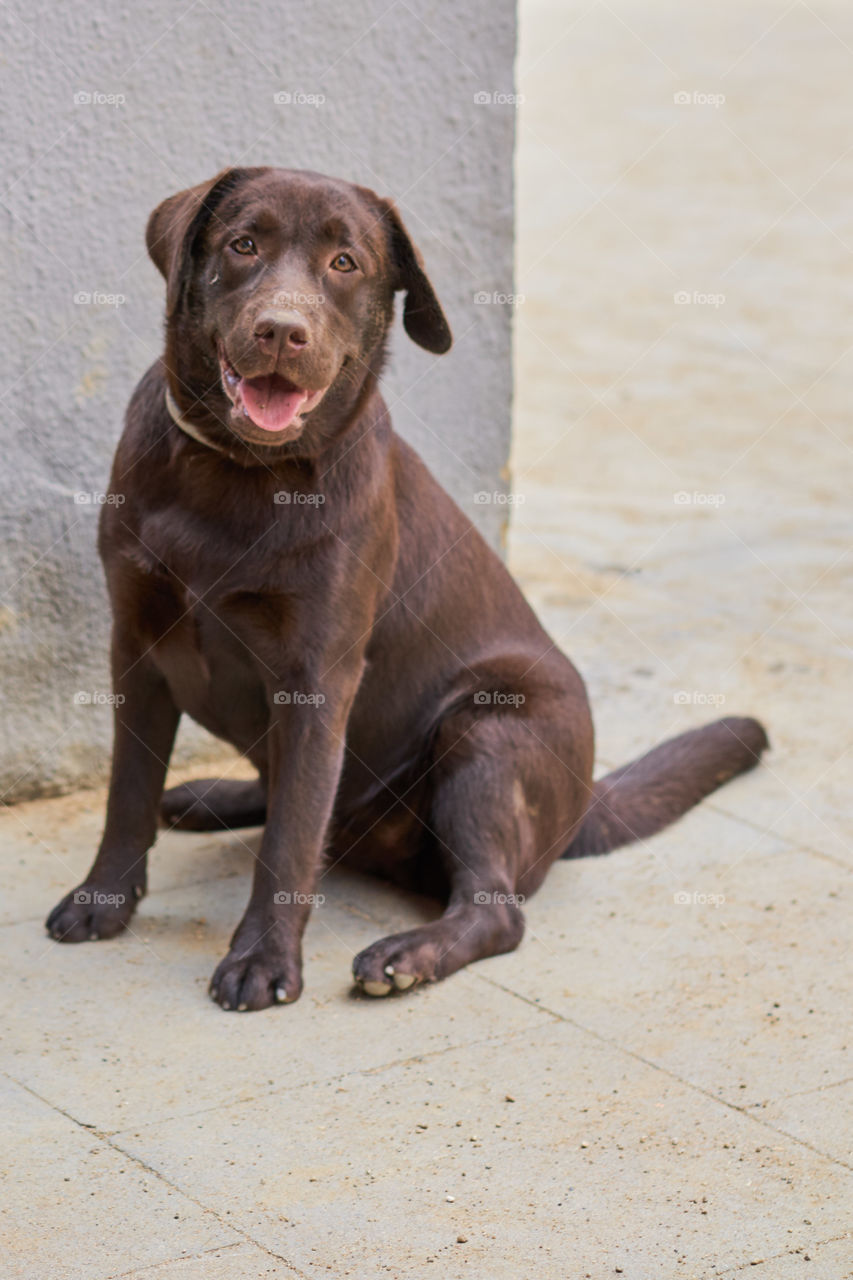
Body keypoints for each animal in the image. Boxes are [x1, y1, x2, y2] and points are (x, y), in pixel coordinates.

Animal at [44, 167, 763, 1008]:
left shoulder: (318, 677)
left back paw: (407, 955)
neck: (235, 472)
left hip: (485, 732)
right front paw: (103, 902)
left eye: (344, 263)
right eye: (243, 244)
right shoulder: (135, 642)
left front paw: (263, 960)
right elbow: (127, 795)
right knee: (296, 795)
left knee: (486, 906)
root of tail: (582, 803)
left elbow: (290, 843)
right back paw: (210, 795)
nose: (282, 330)